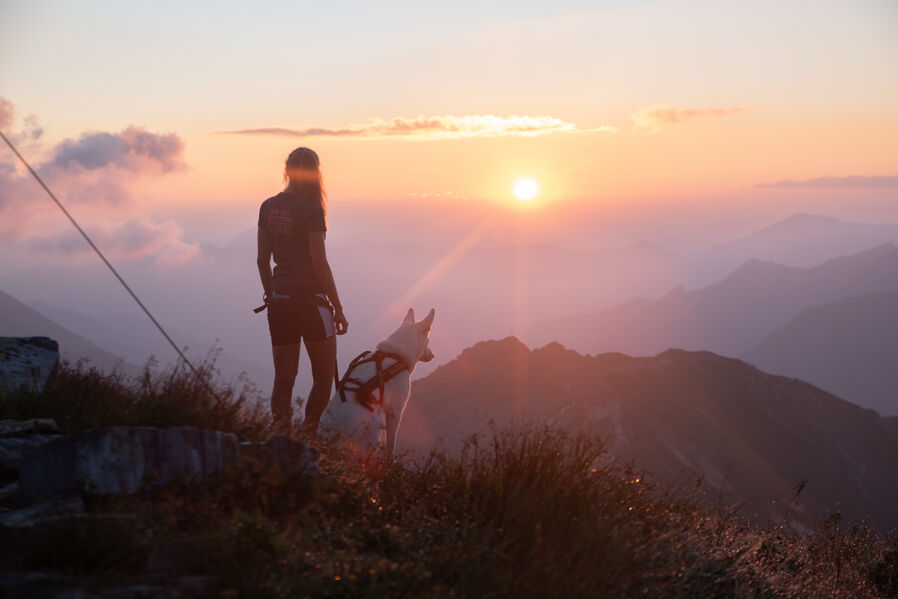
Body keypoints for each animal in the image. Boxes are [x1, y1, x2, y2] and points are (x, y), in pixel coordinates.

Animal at [320, 308, 436, 458]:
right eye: (428, 339)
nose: (433, 355)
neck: (394, 354)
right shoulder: (395, 412)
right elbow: (391, 445)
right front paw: (389, 461)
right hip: (377, 421)